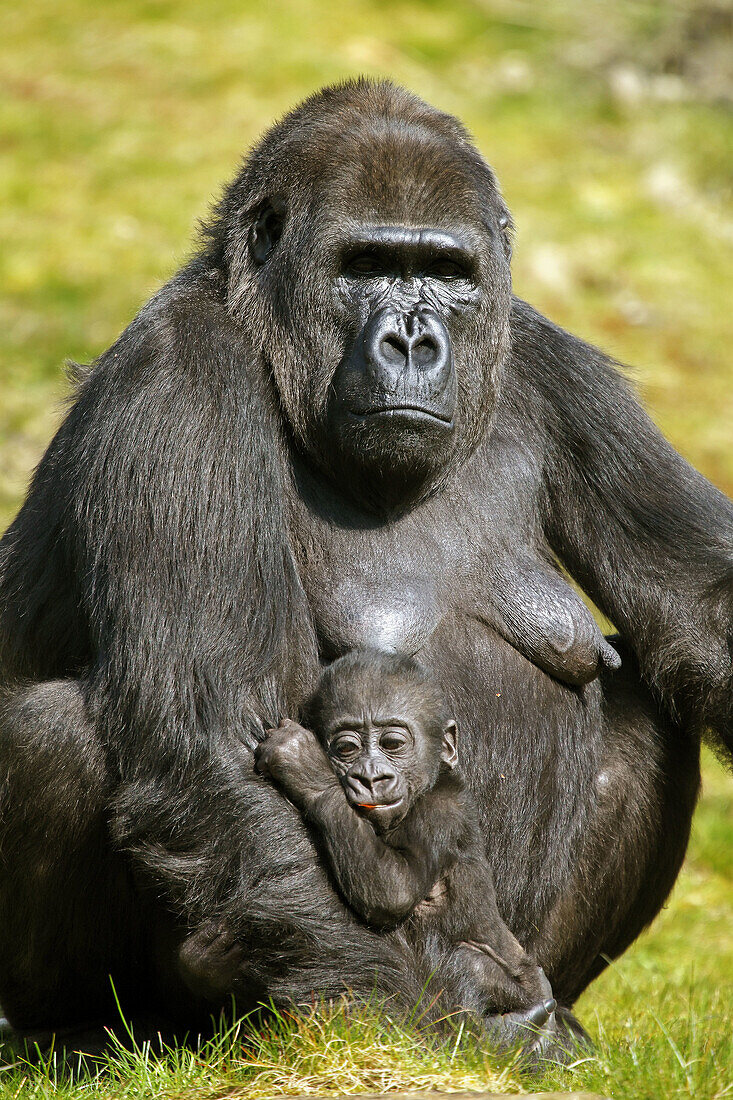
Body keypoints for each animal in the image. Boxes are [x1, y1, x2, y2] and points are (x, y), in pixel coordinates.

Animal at [253, 646, 554, 1025]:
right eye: (347, 748)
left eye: (393, 743)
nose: (371, 777)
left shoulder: (438, 813)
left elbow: (394, 890)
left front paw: (304, 765)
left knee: (468, 964)